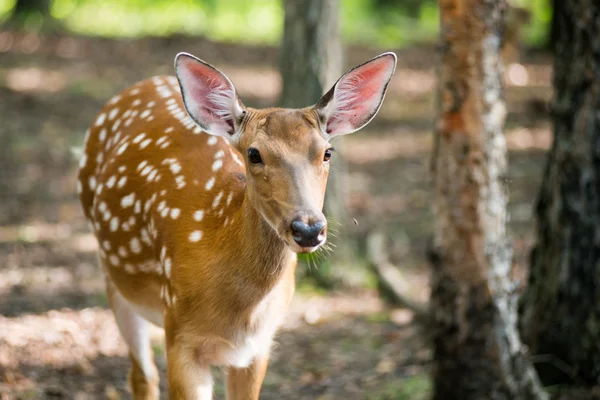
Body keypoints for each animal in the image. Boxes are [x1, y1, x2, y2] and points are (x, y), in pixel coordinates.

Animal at [78, 51, 398, 398]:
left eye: (327, 152)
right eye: (254, 153)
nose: (308, 229)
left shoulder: (258, 347)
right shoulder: (179, 335)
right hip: (114, 275)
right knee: (142, 374)